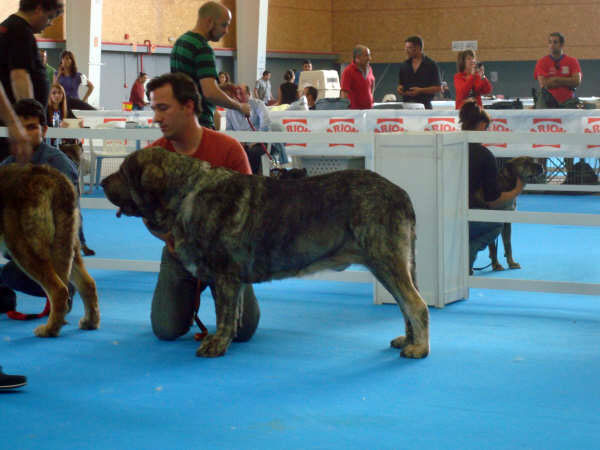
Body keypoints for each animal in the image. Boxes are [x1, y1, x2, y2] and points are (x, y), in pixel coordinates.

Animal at [0, 163, 99, 336]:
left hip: (25, 248)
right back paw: (90, 322)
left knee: (59, 290)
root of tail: (54, 178)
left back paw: (49, 330)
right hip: (68, 245)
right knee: (88, 284)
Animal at [104, 149, 432, 360]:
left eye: (124, 171)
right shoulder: (231, 280)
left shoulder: (224, 275)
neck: (186, 192)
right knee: (405, 305)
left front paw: (216, 344)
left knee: (415, 304)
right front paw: (228, 338)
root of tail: (400, 193)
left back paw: (419, 348)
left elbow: (223, 313)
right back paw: (408, 339)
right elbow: (233, 313)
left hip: (385, 260)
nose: (104, 183)